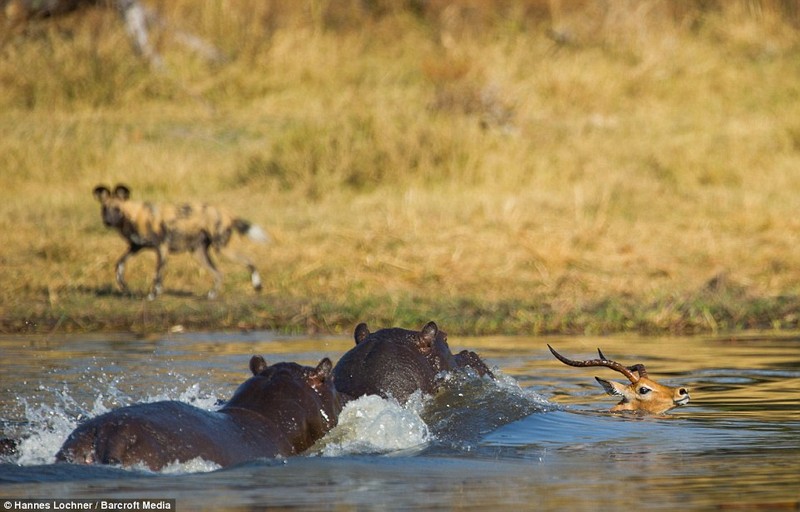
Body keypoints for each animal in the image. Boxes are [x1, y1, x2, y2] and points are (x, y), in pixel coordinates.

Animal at [93, 184, 268, 300]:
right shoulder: (135, 247)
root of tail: (226, 212)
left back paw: (257, 285)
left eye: (117, 209)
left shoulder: (162, 248)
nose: (108, 222)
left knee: (250, 261)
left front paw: (153, 294)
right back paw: (212, 295)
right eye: (104, 209)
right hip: (199, 254)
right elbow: (119, 265)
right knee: (219, 273)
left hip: (221, 249)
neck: (134, 216)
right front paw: (124, 286)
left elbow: (157, 275)